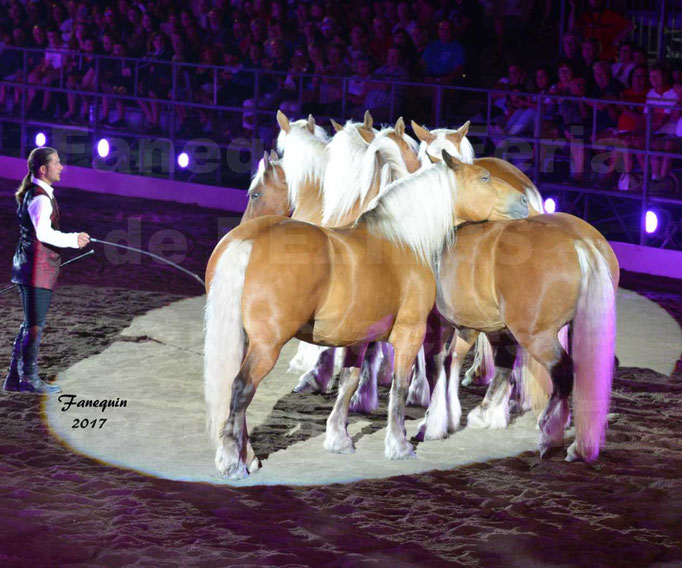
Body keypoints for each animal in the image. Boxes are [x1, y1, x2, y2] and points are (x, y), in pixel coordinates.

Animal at [202, 151, 524, 480]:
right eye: (484, 178)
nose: (523, 200)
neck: (402, 240)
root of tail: (248, 240)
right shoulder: (409, 334)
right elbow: (399, 388)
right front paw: (399, 445)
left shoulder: (357, 337)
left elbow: (349, 382)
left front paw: (338, 439)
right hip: (267, 346)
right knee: (241, 388)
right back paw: (233, 462)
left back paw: (248, 457)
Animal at [428, 213, 620, 462]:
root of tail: (579, 241)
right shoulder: (491, 329)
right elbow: (495, 365)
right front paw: (484, 412)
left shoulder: (459, 328)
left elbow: (444, 363)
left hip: (536, 337)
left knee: (563, 372)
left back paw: (549, 433)